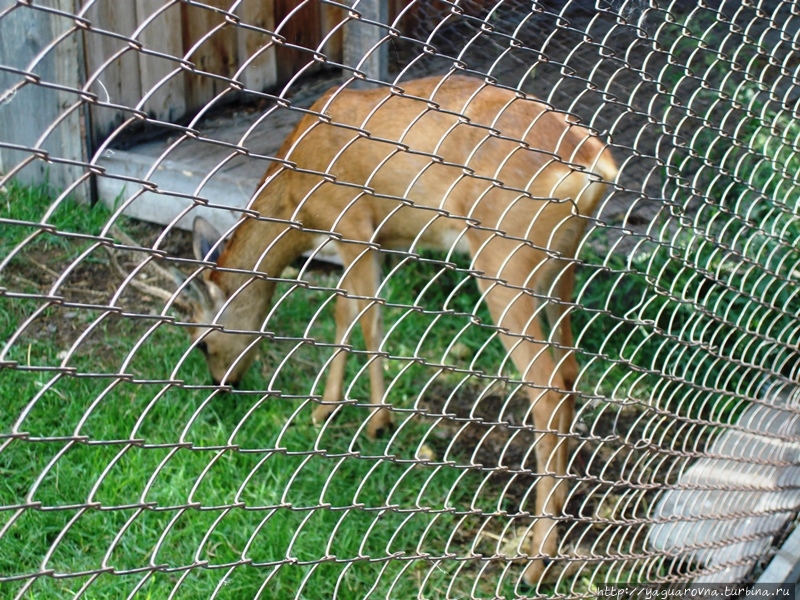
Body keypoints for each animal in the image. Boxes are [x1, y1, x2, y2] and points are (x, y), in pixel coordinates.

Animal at [177, 72, 620, 584]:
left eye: (202, 343)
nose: (221, 386)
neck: (295, 197)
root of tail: (593, 166)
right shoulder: (376, 237)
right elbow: (347, 310)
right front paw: (326, 408)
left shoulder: (352, 221)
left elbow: (364, 315)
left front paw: (375, 420)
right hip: (562, 263)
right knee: (569, 372)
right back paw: (562, 503)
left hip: (503, 258)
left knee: (545, 387)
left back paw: (537, 558)